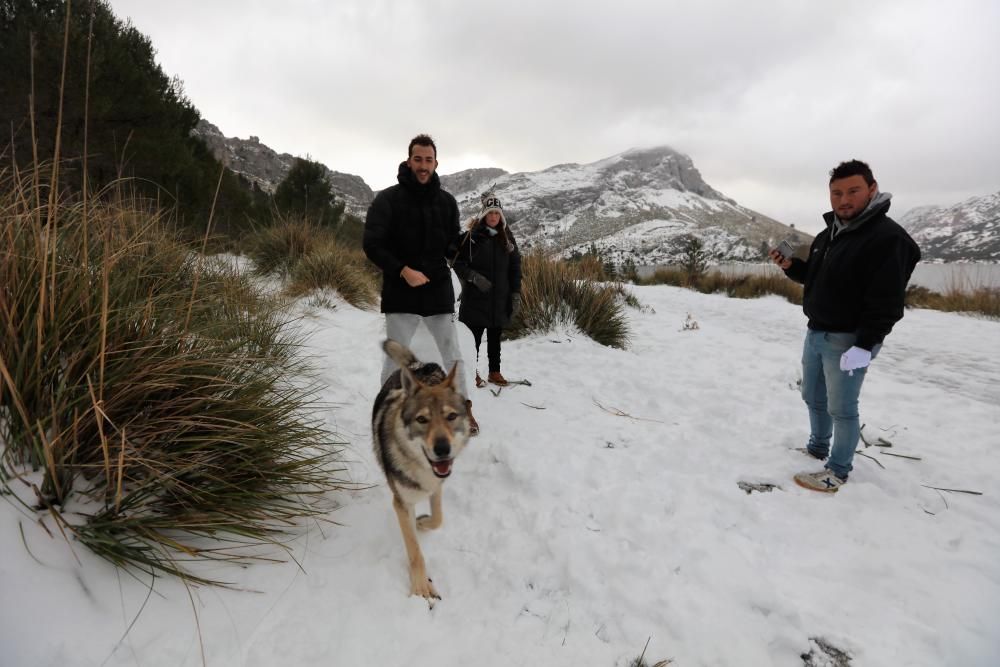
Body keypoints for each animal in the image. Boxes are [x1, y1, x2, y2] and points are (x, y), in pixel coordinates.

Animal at [372, 340, 472, 600]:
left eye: (451, 416)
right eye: (421, 420)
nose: (442, 449)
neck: (420, 467)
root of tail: (417, 365)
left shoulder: (437, 486)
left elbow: (438, 519)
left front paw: (423, 522)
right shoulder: (401, 503)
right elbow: (415, 551)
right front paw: (420, 587)